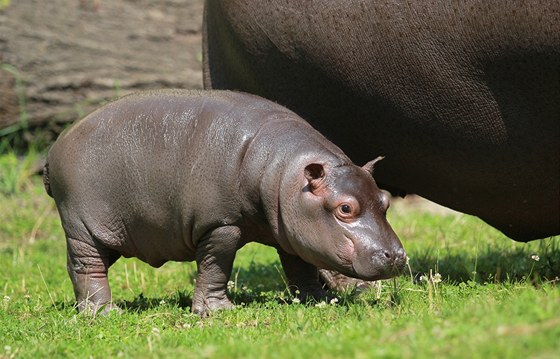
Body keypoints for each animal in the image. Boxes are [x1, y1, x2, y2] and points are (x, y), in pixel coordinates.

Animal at [42, 90, 402, 318]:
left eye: (385, 200)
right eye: (345, 208)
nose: (398, 255)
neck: (283, 173)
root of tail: (54, 146)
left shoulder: (290, 229)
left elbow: (301, 266)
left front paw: (320, 299)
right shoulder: (221, 226)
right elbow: (215, 267)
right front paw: (217, 311)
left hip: (112, 233)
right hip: (83, 226)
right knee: (86, 266)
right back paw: (104, 313)